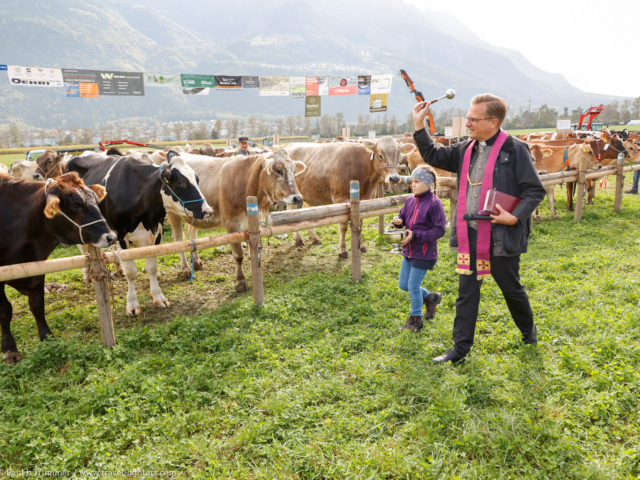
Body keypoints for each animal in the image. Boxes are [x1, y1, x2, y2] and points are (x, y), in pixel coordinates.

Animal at [0, 172, 114, 364]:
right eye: (76, 204)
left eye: (95, 200)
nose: (111, 237)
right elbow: (5, 310)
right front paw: (10, 350)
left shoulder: (38, 269)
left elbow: (37, 305)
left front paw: (47, 338)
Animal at [67, 153, 214, 316]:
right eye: (181, 182)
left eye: (197, 179)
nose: (208, 211)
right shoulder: (121, 235)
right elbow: (131, 272)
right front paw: (132, 304)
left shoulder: (157, 232)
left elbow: (152, 267)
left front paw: (158, 297)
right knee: (84, 250)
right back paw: (87, 275)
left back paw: (117, 270)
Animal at [165, 147, 304, 288]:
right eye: (279, 170)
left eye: (294, 171)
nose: (298, 198)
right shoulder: (231, 225)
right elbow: (239, 254)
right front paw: (241, 281)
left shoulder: (256, 223)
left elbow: (253, 252)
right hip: (172, 213)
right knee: (178, 240)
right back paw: (186, 269)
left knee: (191, 234)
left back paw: (197, 262)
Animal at [286, 137, 416, 256]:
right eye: (380, 155)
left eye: (398, 156)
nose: (394, 178)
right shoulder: (339, 199)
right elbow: (343, 227)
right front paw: (342, 250)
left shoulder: (365, 201)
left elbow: (360, 223)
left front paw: (362, 246)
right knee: (291, 212)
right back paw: (298, 239)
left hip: (309, 193)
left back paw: (314, 238)